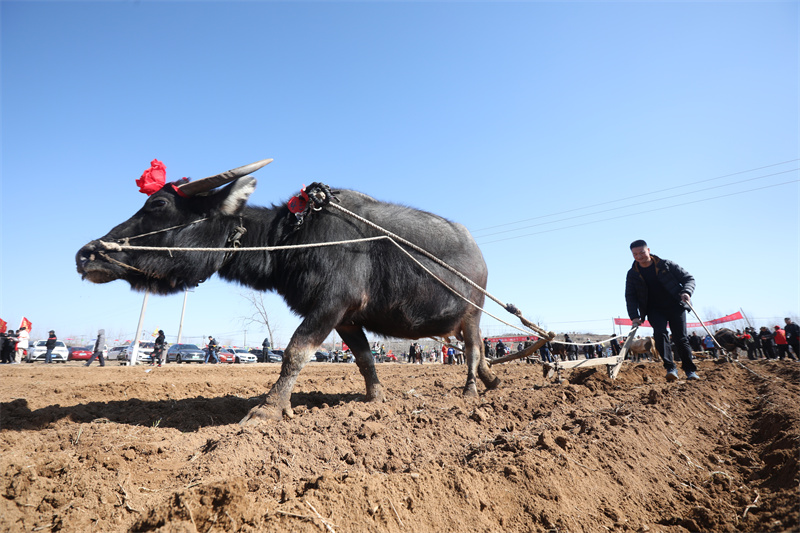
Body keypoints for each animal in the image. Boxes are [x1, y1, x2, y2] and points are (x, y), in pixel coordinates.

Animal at [75, 160, 500, 422]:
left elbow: (295, 351)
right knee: (475, 351)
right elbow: (364, 359)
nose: (87, 253)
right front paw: (375, 399)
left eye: (159, 203)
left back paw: (470, 391)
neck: (294, 237)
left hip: (473, 314)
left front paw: (268, 408)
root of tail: (479, 256)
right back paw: (490, 379)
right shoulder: (346, 319)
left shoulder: (331, 304)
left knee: (473, 350)